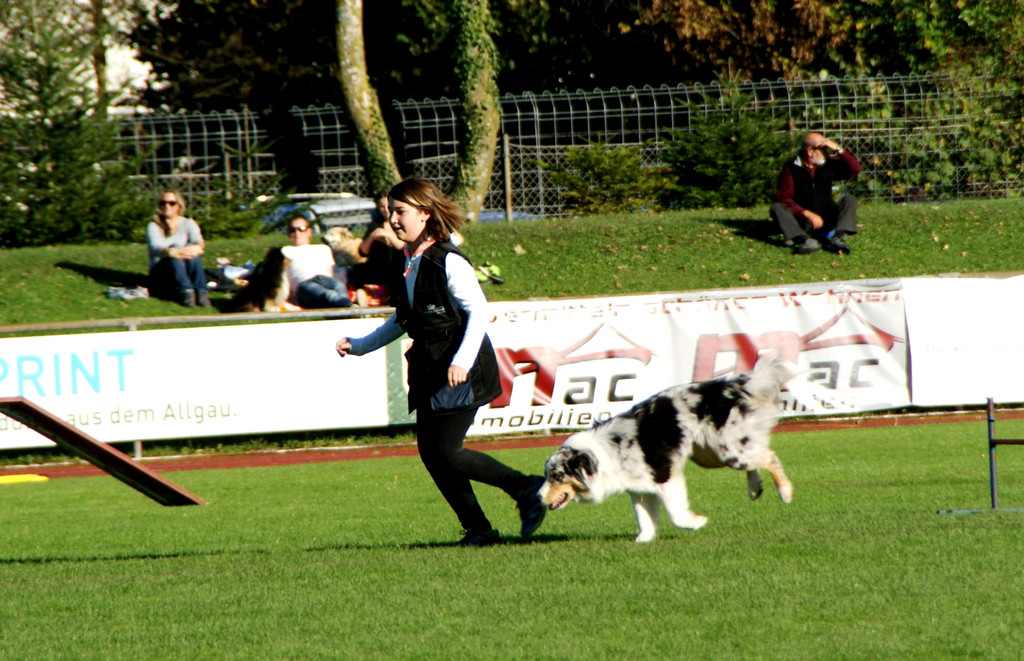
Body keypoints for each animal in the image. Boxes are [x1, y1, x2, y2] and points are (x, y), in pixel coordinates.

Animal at [539, 355, 798, 542]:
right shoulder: (638, 490)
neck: (605, 455)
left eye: (557, 476)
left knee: (769, 456)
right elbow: (644, 519)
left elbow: (676, 514)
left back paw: (785, 492)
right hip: (711, 455)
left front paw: (697, 522)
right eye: (548, 475)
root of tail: (728, 385)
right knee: (756, 457)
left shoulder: (666, 477)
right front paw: (643, 540)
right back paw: (755, 488)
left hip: (727, 451)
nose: (537, 496)